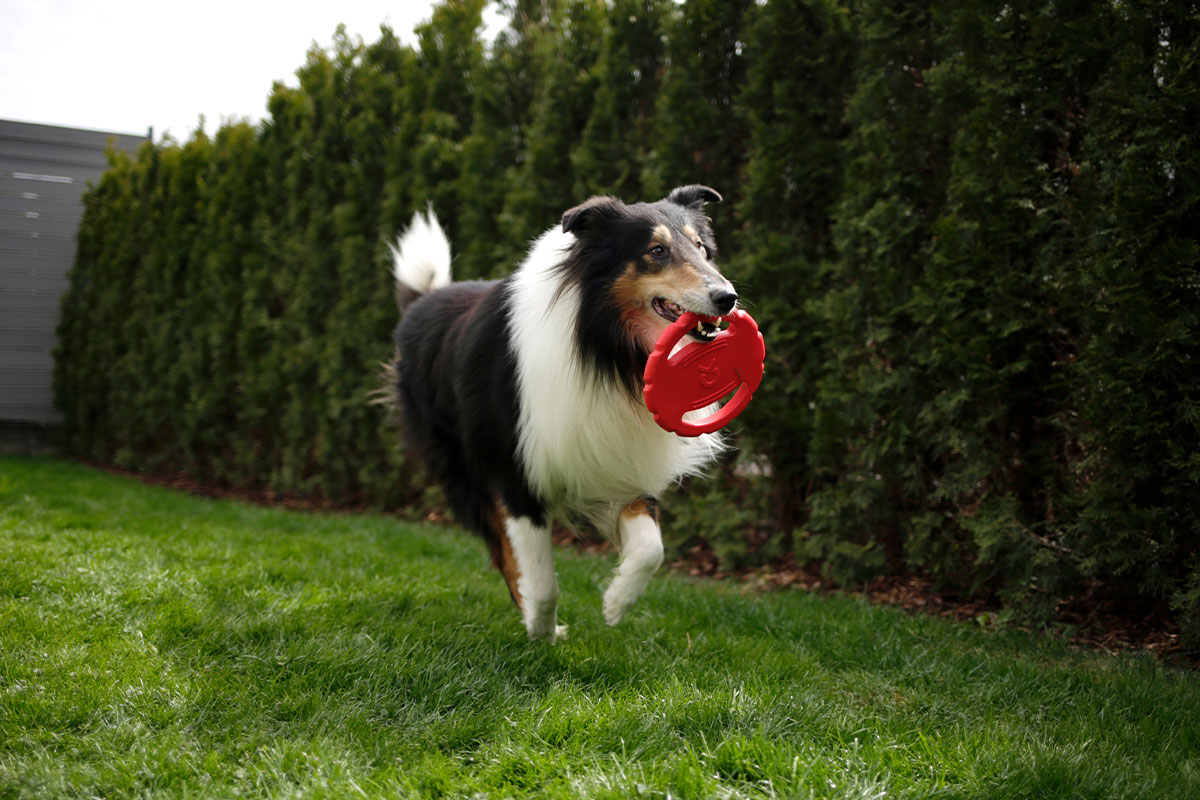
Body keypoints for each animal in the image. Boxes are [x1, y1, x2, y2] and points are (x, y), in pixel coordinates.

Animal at [388, 184, 734, 642]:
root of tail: (423, 301)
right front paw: (542, 631)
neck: (605, 349)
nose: (728, 298)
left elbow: (651, 549)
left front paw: (615, 603)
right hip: (464, 471)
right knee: (502, 553)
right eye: (656, 250)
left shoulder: (620, 464)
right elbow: (541, 579)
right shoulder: (518, 478)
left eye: (702, 249)